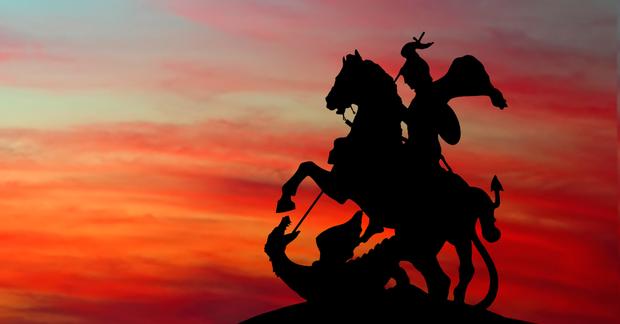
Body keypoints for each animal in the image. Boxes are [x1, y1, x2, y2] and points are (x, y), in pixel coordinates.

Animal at [278, 49, 502, 308]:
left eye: (343, 77)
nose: (329, 100)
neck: (375, 139)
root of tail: (472, 194)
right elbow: (306, 166)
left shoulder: (340, 188)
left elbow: (306, 167)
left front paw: (285, 200)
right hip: (452, 237)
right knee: (457, 273)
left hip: (439, 238)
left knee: (450, 275)